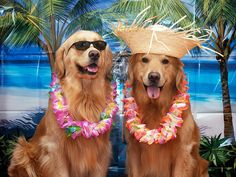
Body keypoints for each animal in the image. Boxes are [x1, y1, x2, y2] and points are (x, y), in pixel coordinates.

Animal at [8, 30, 112, 177]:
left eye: (100, 45)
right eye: (81, 45)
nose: (94, 54)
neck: (85, 95)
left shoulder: (102, 149)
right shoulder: (55, 148)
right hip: (22, 149)